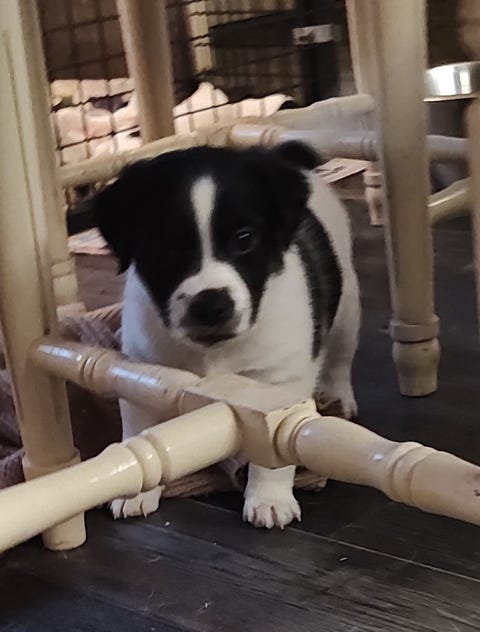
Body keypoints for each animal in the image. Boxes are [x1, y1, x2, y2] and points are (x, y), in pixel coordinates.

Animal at [94, 141, 360, 529]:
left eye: (244, 239)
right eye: (164, 246)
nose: (210, 304)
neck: (214, 352)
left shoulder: (276, 382)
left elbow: (273, 448)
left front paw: (269, 498)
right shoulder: (141, 374)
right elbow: (140, 431)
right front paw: (136, 490)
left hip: (347, 309)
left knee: (340, 357)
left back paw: (338, 395)